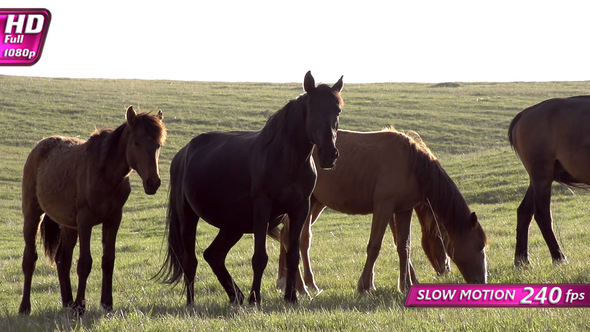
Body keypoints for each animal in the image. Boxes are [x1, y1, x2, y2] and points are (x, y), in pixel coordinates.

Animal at [18, 107, 166, 316]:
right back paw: (25, 307)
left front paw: (107, 304)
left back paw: (67, 303)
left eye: (158, 145)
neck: (105, 175)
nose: (153, 183)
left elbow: (108, 260)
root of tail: (39, 147)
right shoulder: (85, 221)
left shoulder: (113, 220)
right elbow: (84, 263)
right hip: (33, 215)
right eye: (137, 142)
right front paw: (81, 306)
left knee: (62, 260)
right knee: (30, 259)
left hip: (68, 225)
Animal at [158, 72, 346, 306]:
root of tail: (182, 154)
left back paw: (236, 296)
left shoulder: (300, 209)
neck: (287, 160)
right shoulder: (262, 208)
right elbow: (260, 257)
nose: (329, 154)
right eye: (312, 108)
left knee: (214, 255)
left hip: (233, 225)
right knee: (190, 261)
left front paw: (291, 297)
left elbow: (293, 255)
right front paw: (255, 297)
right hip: (188, 217)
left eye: (337, 110)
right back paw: (192, 303)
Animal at [276, 127, 486, 294]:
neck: (411, 164)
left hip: (314, 203)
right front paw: (364, 286)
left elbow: (403, 246)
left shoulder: (403, 210)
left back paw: (308, 284)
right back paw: (300, 287)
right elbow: (374, 246)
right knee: (289, 239)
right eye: (479, 246)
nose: (482, 282)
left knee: (300, 239)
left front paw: (405, 285)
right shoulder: (384, 207)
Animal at [512, 94, 590, 266]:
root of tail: (525, 113)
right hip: (542, 177)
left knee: (524, 211)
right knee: (542, 215)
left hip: (537, 179)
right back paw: (558, 257)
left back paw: (522, 260)